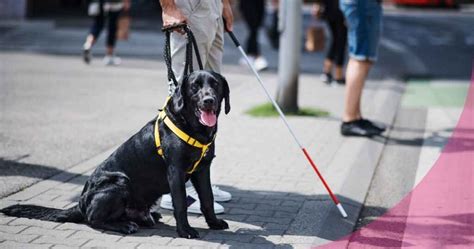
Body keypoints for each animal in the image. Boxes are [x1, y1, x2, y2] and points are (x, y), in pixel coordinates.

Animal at [0, 70, 230, 239]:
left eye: (215, 85)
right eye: (195, 86)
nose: (209, 100)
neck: (193, 129)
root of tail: (80, 204)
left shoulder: (203, 169)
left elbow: (208, 198)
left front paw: (214, 223)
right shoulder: (175, 171)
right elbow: (181, 203)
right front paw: (185, 231)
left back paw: (147, 217)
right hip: (119, 181)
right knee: (92, 219)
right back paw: (124, 226)